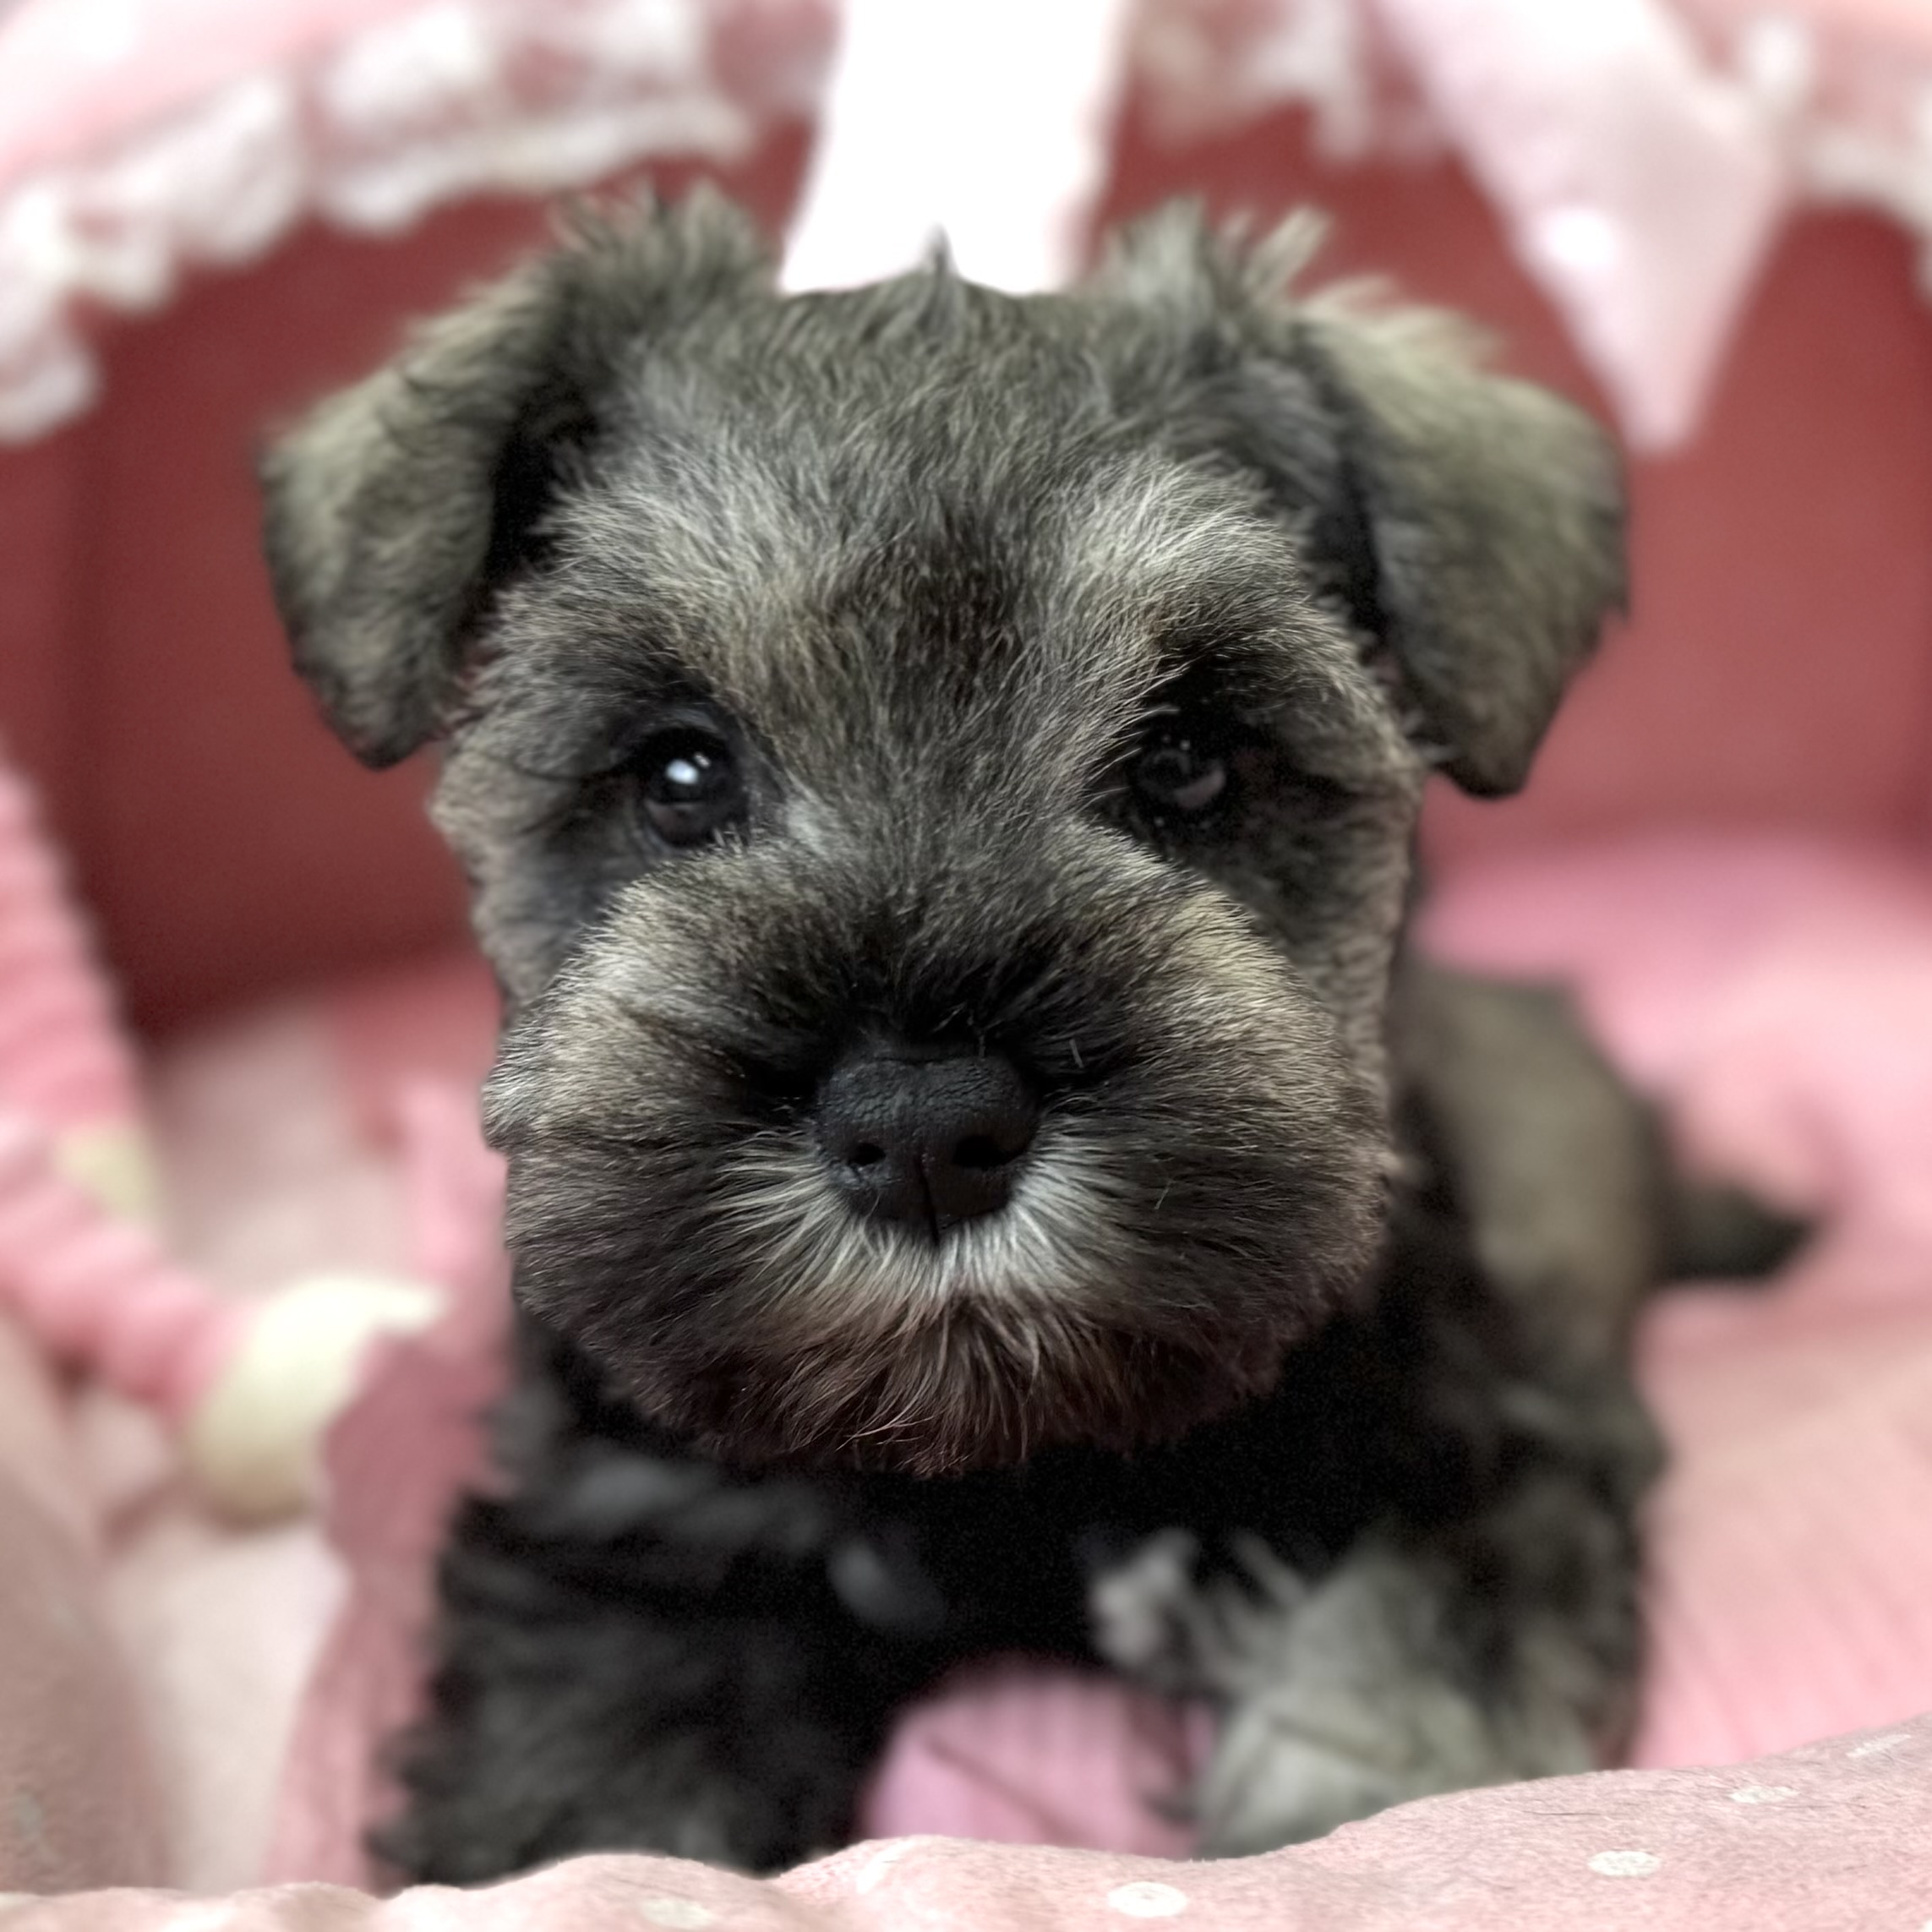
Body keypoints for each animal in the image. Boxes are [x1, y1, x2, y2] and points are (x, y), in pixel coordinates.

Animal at [259, 189, 1796, 1880]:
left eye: (1186, 760)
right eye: (678, 771)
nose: (926, 1125)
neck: (1009, 1460)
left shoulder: (1482, 1454)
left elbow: (1401, 1705)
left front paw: (1330, 1800)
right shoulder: (633, 1544)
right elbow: (591, 1823)